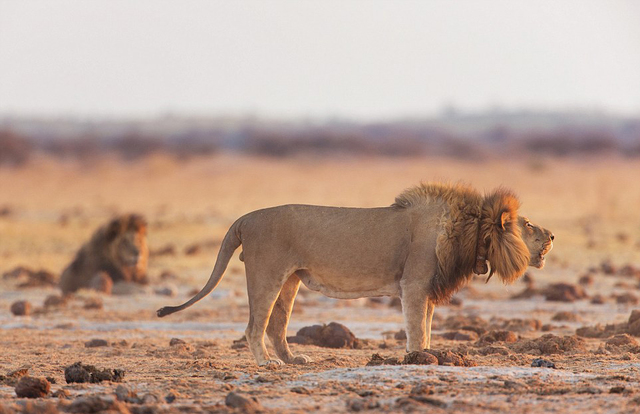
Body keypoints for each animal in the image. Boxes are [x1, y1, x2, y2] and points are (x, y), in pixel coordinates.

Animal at [158, 184, 552, 366]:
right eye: (530, 225)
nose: (552, 236)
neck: (471, 230)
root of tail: (244, 218)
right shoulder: (414, 284)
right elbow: (416, 326)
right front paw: (416, 357)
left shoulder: (426, 288)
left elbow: (425, 324)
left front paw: (425, 355)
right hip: (266, 273)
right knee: (256, 325)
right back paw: (266, 363)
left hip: (290, 279)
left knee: (276, 325)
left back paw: (293, 360)